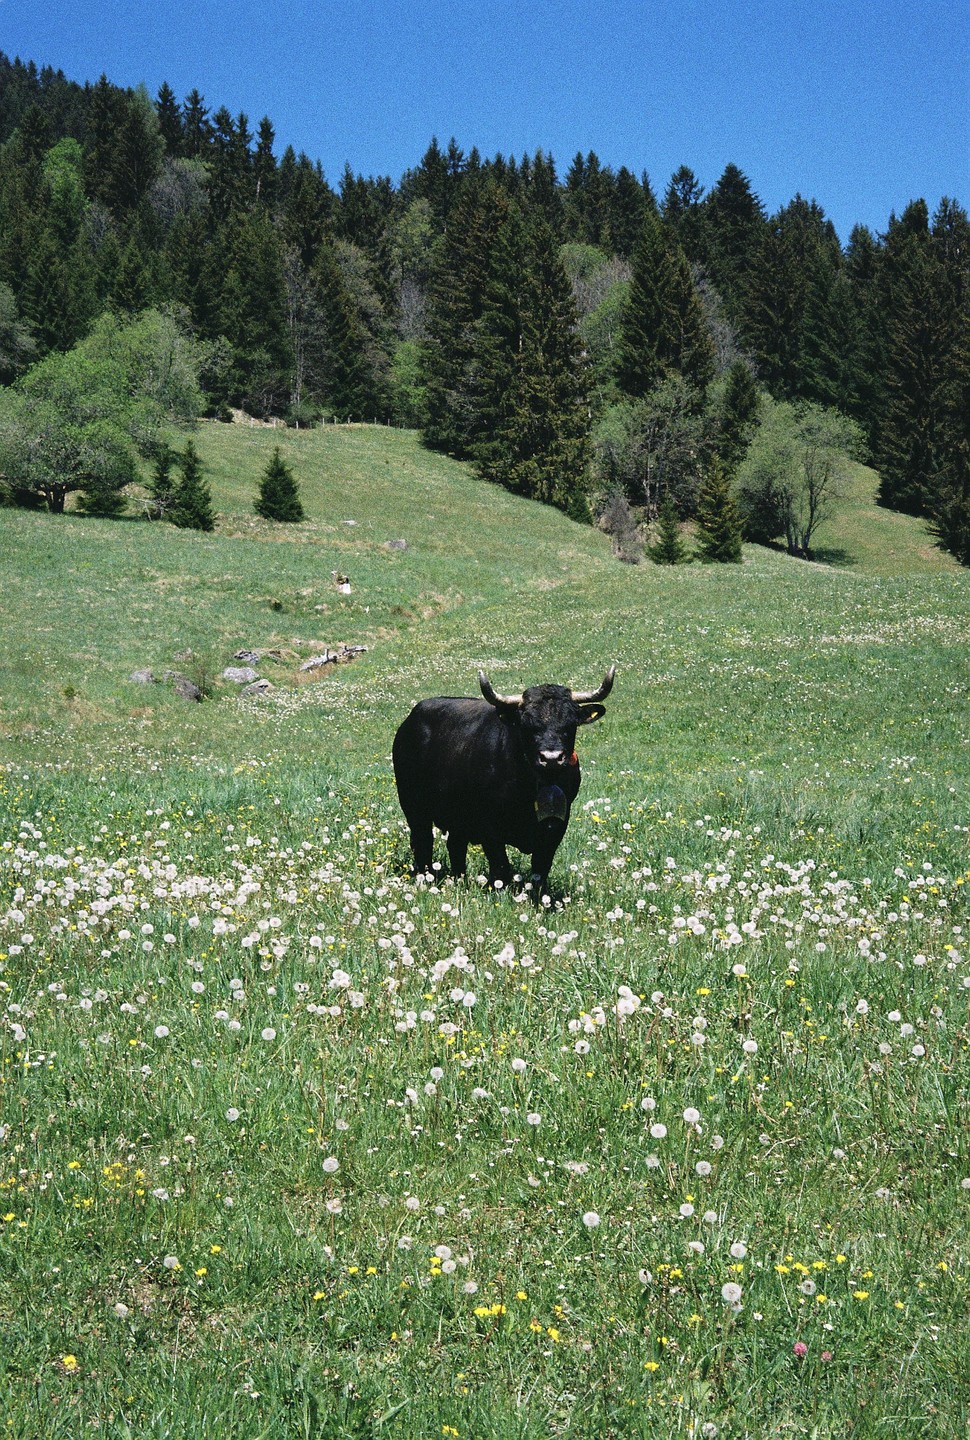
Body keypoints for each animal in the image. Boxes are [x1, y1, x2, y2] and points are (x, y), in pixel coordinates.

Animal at [392, 666, 615, 894]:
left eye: (570, 724)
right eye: (526, 724)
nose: (551, 758)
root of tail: (410, 721)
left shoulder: (556, 825)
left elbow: (541, 867)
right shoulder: (489, 826)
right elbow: (500, 865)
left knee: (455, 846)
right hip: (413, 806)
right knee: (423, 841)